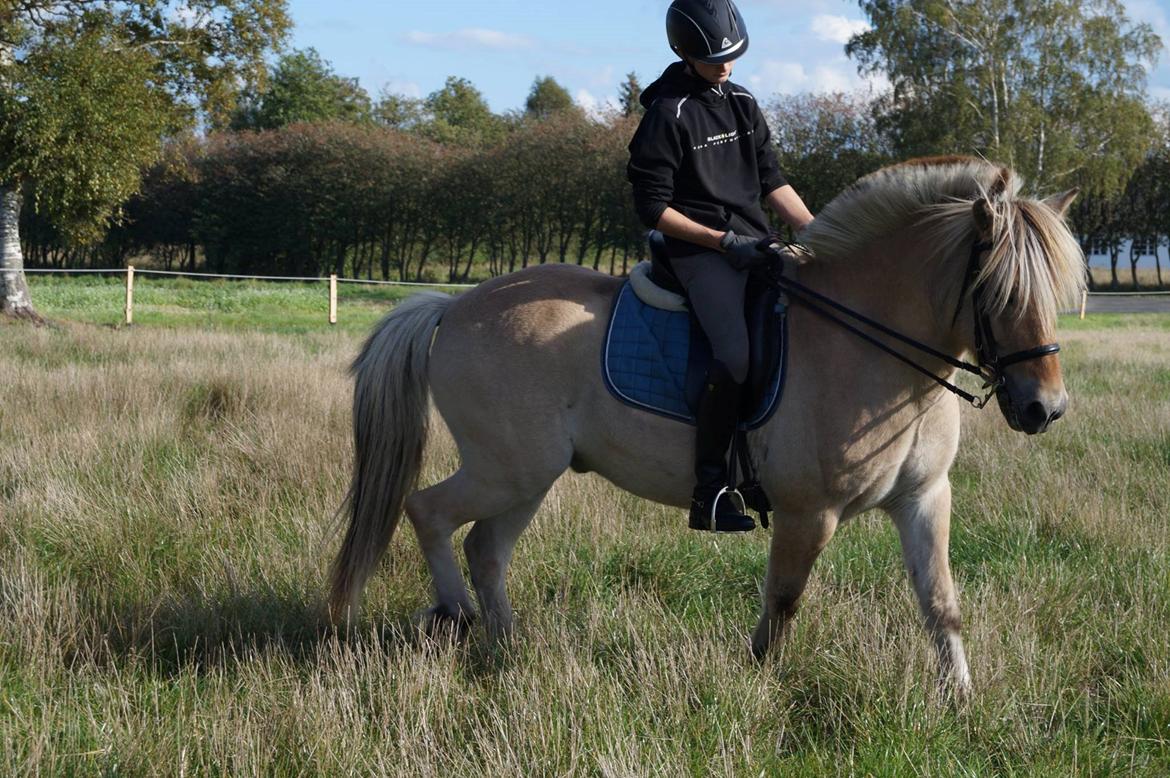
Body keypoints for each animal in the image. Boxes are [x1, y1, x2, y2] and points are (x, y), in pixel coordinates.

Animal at [325, 156, 1081, 692]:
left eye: (1054, 294)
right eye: (997, 292)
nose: (1044, 409)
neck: (870, 345)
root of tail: (450, 308)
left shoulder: (924, 498)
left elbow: (940, 602)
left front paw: (960, 700)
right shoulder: (809, 513)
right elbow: (783, 604)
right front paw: (760, 685)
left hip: (528, 476)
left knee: (486, 548)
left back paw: (507, 651)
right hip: (504, 468)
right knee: (427, 511)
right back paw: (455, 615)